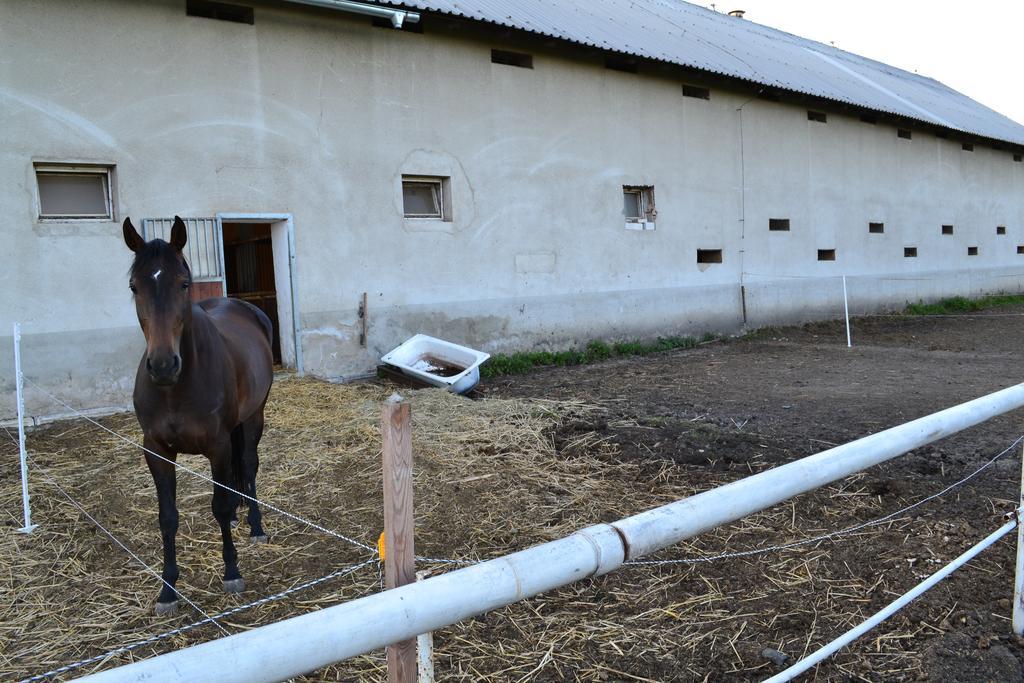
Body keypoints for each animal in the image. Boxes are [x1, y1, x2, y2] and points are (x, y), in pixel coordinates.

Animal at [122, 216, 274, 618]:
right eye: (134, 286)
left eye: (184, 283)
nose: (162, 365)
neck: (176, 389)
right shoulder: (156, 451)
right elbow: (167, 517)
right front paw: (167, 589)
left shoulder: (218, 446)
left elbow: (218, 505)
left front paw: (232, 571)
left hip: (254, 417)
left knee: (248, 464)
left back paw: (254, 524)